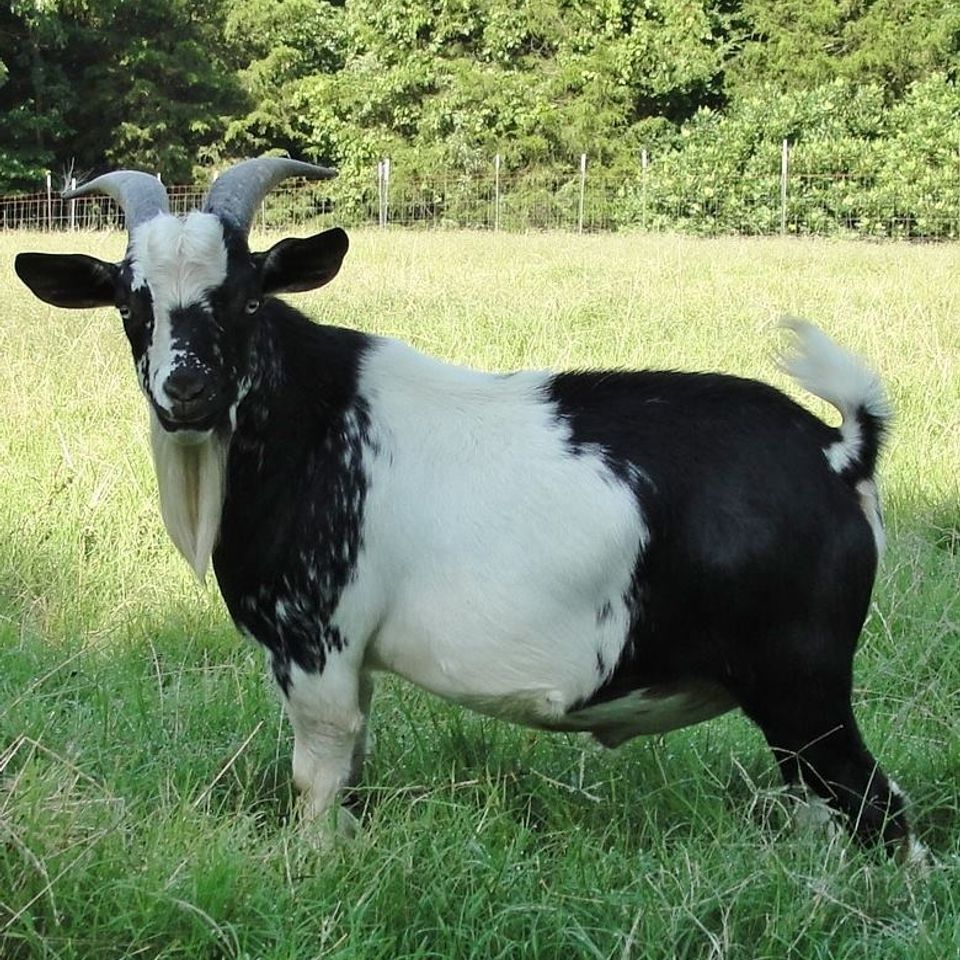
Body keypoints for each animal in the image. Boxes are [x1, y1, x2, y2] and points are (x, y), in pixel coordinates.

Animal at [15, 157, 919, 858]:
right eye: (130, 305)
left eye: (244, 298)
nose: (188, 391)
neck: (309, 419)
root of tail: (838, 449)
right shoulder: (350, 664)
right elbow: (352, 771)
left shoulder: (315, 647)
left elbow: (318, 780)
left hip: (801, 679)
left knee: (879, 808)